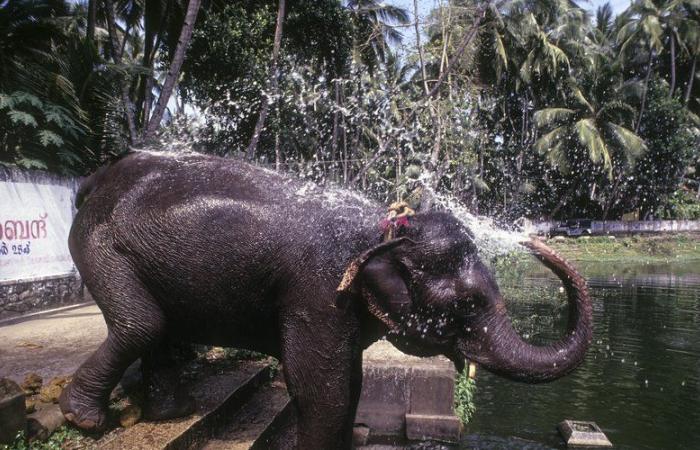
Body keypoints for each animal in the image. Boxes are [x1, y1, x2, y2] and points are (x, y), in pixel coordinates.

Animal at [60, 152, 592, 450]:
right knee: (142, 322)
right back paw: (84, 420)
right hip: (101, 246)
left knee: (158, 327)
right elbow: (322, 390)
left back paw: (171, 414)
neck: (385, 228)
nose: (532, 239)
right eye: (468, 305)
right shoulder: (317, 291)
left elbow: (351, 383)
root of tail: (94, 180)